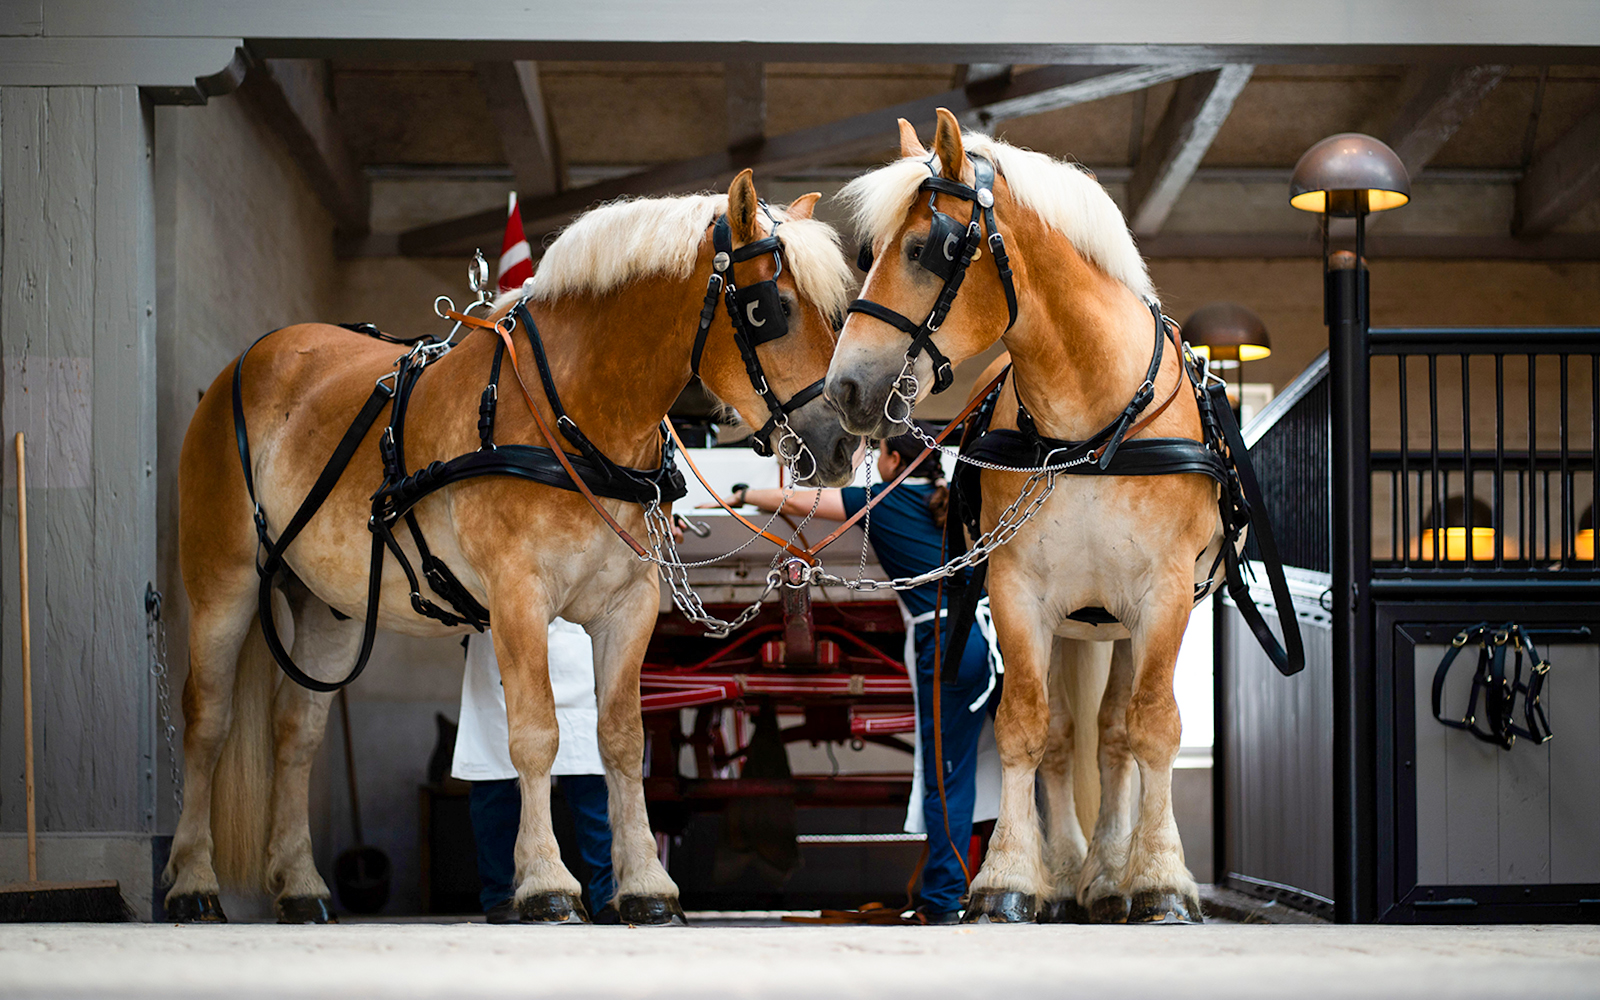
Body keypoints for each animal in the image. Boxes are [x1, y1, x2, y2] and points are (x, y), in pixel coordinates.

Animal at [164, 170, 858, 924]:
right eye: (773, 309)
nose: (844, 443)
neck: (574, 415)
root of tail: (254, 358)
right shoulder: (518, 595)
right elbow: (535, 734)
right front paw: (547, 883)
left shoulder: (629, 604)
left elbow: (622, 739)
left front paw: (646, 884)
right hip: (224, 582)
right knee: (208, 722)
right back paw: (192, 881)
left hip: (330, 608)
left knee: (296, 737)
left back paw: (302, 885)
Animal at [824, 111, 1223, 924]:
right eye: (868, 253)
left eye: (927, 249)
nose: (843, 388)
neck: (1091, 429)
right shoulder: (1017, 589)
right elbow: (1025, 728)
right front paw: (1008, 878)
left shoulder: (1165, 593)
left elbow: (1154, 727)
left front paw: (1163, 879)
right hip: (1075, 620)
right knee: (1074, 736)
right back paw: (1075, 872)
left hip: (1123, 620)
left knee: (1117, 733)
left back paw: (1114, 874)